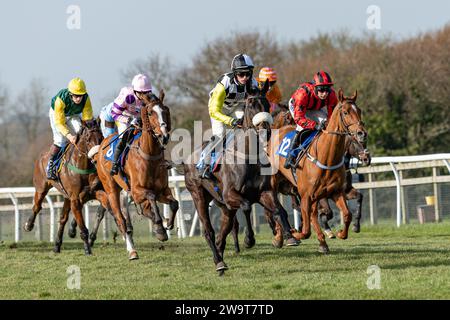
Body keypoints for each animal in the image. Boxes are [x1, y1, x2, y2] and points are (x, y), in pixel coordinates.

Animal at [24, 120, 109, 255]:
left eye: (101, 137)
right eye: (87, 138)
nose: (96, 159)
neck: (82, 165)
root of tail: (42, 155)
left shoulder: (91, 192)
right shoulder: (75, 198)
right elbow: (83, 228)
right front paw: (87, 249)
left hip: (66, 196)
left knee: (63, 218)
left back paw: (57, 245)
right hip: (41, 187)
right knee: (37, 206)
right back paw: (29, 224)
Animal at [95, 90, 179, 260]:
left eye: (166, 110)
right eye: (150, 112)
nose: (164, 136)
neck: (149, 154)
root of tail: (102, 145)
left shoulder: (163, 190)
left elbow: (174, 203)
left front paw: (166, 226)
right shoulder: (136, 190)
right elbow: (151, 196)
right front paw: (160, 226)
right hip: (111, 190)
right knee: (121, 220)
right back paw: (132, 251)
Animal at [183, 81, 298, 274]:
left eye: (266, 104)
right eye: (250, 105)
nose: (265, 130)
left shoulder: (264, 192)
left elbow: (278, 210)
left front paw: (290, 236)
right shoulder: (231, 194)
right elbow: (246, 206)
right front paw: (249, 240)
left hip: (224, 205)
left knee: (225, 229)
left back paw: (221, 257)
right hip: (199, 196)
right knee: (209, 231)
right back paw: (219, 262)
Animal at [268, 89, 366, 254]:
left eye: (358, 110)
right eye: (345, 112)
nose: (361, 133)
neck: (326, 156)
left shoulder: (335, 192)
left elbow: (347, 214)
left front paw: (341, 233)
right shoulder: (306, 196)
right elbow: (306, 230)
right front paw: (295, 233)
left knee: (312, 214)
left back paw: (321, 242)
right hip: (275, 182)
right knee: (276, 208)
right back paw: (280, 237)